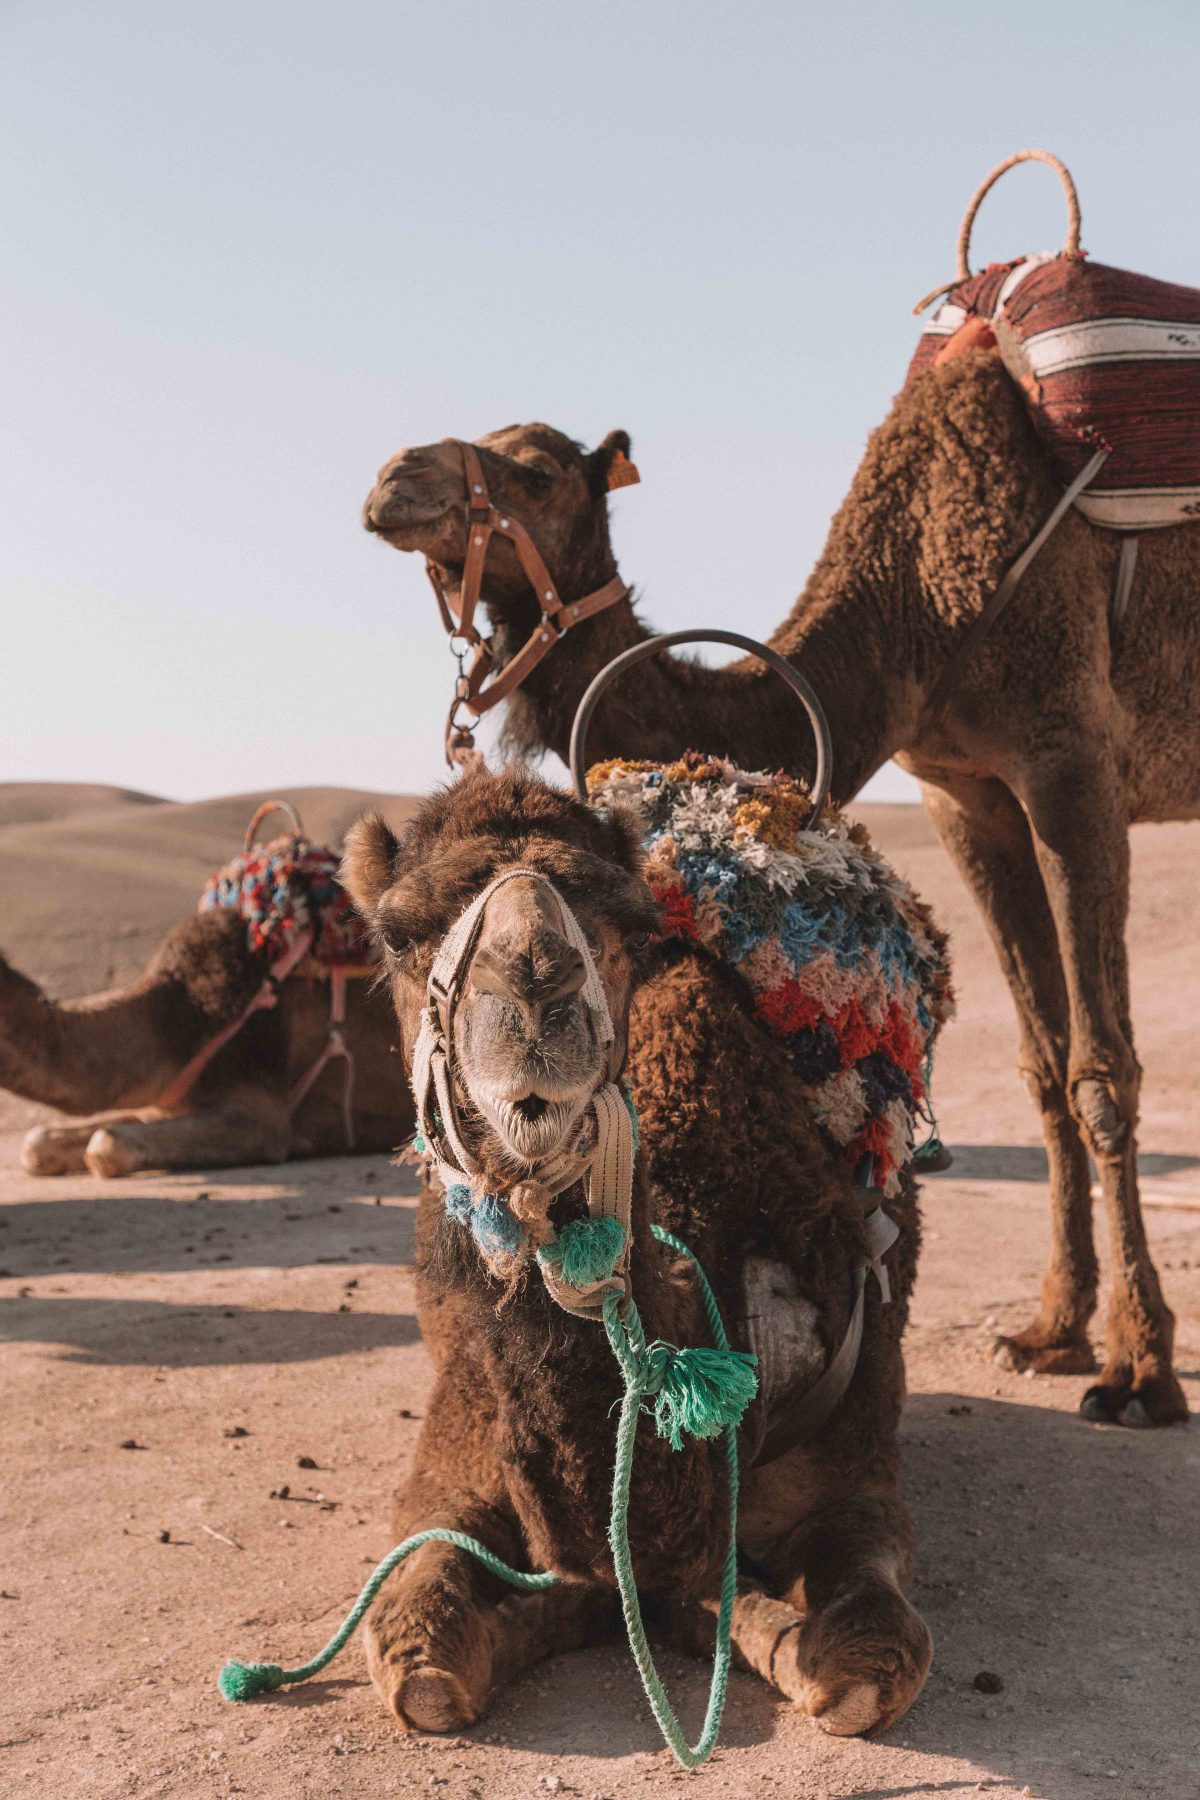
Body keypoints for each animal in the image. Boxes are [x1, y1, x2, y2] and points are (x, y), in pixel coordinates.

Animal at [341, 770, 935, 1742]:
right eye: (395, 934)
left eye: (633, 921)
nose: (535, 982)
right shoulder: (456, 1444)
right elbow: (420, 1652)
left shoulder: (851, 1455)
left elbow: (868, 1660)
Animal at [367, 369, 1200, 1432]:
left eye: (538, 471)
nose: (394, 480)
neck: (919, 598)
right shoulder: (966, 792)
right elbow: (1046, 1066)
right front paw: (1052, 1332)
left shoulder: (1071, 751)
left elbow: (1100, 1070)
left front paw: (1139, 1371)